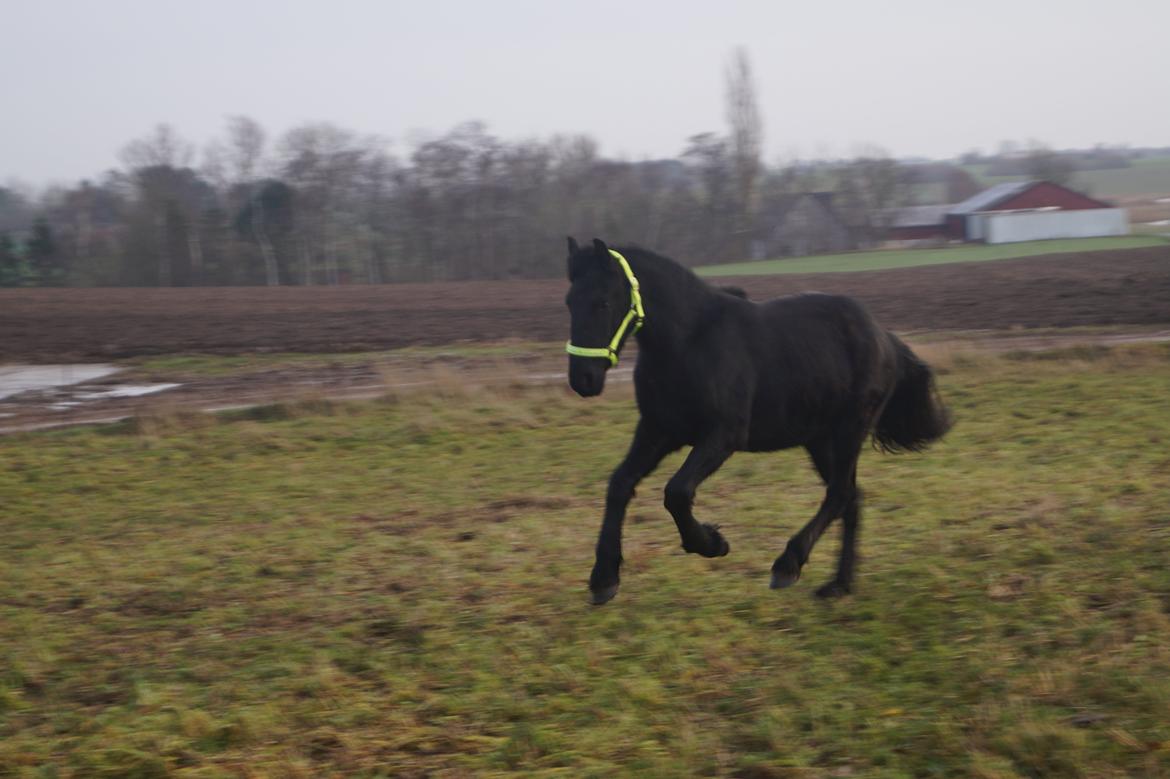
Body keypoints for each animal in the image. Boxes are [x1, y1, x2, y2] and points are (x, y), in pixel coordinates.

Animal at [566, 239, 950, 603]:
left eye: (602, 302)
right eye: (569, 302)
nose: (583, 378)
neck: (689, 341)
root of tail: (885, 337)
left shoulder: (723, 435)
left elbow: (677, 491)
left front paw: (712, 543)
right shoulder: (658, 430)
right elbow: (619, 484)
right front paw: (603, 579)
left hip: (849, 429)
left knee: (840, 493)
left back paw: (788, 565)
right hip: (819, 439)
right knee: (851, 497)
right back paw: (838, 585)